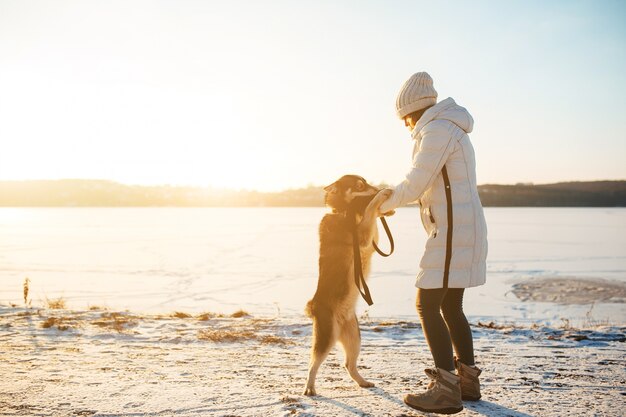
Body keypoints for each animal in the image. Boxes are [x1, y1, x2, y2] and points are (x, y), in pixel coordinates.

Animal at [304, 174, 390, 394]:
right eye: (359, 186)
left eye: (367, 183)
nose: (377, 188)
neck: (344, 211)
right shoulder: (361, 238)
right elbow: (370, 211)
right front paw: (380, 197)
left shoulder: (370, 240)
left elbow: (371, 216)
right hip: (326, 337)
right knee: (313, 364)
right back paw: (309, 387)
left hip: (354, 338)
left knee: (348, 365)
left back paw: (362, 381)